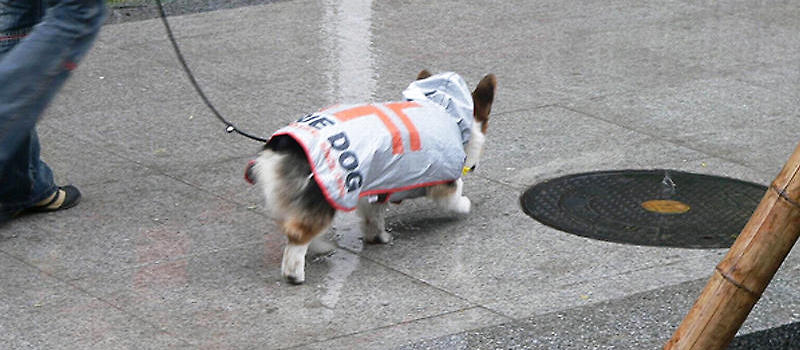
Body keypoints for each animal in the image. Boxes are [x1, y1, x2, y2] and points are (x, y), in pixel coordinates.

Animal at [245, 70, 494, 284]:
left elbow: (373, 216)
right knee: (298, 234)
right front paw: (464, 205)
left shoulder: (376, 185)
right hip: (327, 195)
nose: (473, 166)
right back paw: (294, 274)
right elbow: (455, 195)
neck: (444, 108)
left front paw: (377, 237)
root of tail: (285, 145)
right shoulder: (442, 181)